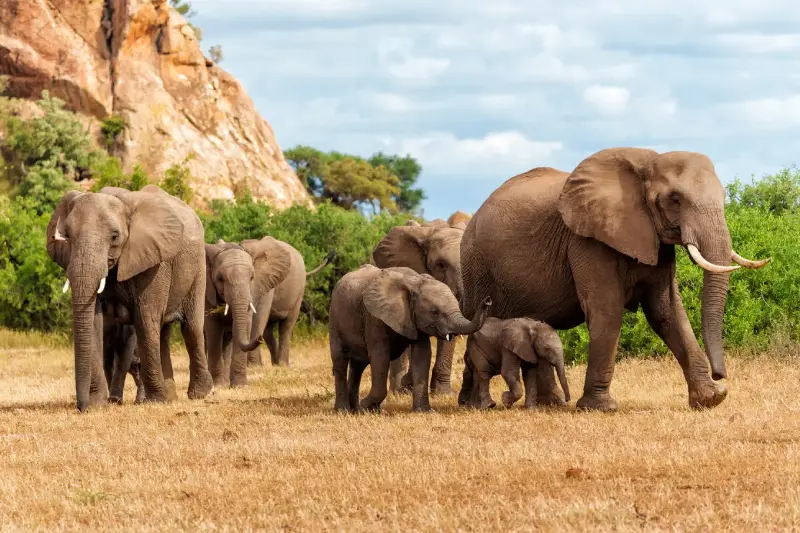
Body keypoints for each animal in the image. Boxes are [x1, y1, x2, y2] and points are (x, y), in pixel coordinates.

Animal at [47, 185, 214, 411]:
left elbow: (144, 319)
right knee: (163, 334)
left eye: (115, 236)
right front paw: (98, 405)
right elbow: (95, 324)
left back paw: (199, 394)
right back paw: (171, 398)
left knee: (191, 328)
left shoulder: (154, 261)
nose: (81, 407)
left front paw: (154, 402)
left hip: (197, 266)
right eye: (67, 236)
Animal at [203, 240, 291, 388]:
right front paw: (218, 386)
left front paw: (240, 386)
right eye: (220, 279)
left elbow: (244, 326)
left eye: (252, 278)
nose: (259, 338)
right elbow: (213, 330)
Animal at [239, 237, 335, 369]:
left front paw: (254, 366)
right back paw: (275, 364)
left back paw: (282, 365)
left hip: (299, 291)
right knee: (268, 330)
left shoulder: (266, 278)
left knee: (286, 326)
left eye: (250, 276)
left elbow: (259, 315)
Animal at [328, 264, 492, 413]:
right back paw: (343, 410)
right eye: (435, 312)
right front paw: (366, 407)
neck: (413, 283)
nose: (488, 300)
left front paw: (424, 411)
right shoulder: (374, 318)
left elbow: (422, 355)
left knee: (358, 366)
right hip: (335, 321)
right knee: (340, 362)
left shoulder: (415, 320)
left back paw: (355, 409)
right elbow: (380, 357)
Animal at [459, 148, 770, 412]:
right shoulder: (587, 241)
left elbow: (667, 312)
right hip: (476, 267)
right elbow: (606, 310)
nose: (721, 374)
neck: (646, 165)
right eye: (675, 199)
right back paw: (474, 405)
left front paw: (711, 400)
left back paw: (550, 404)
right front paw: (600, 408)